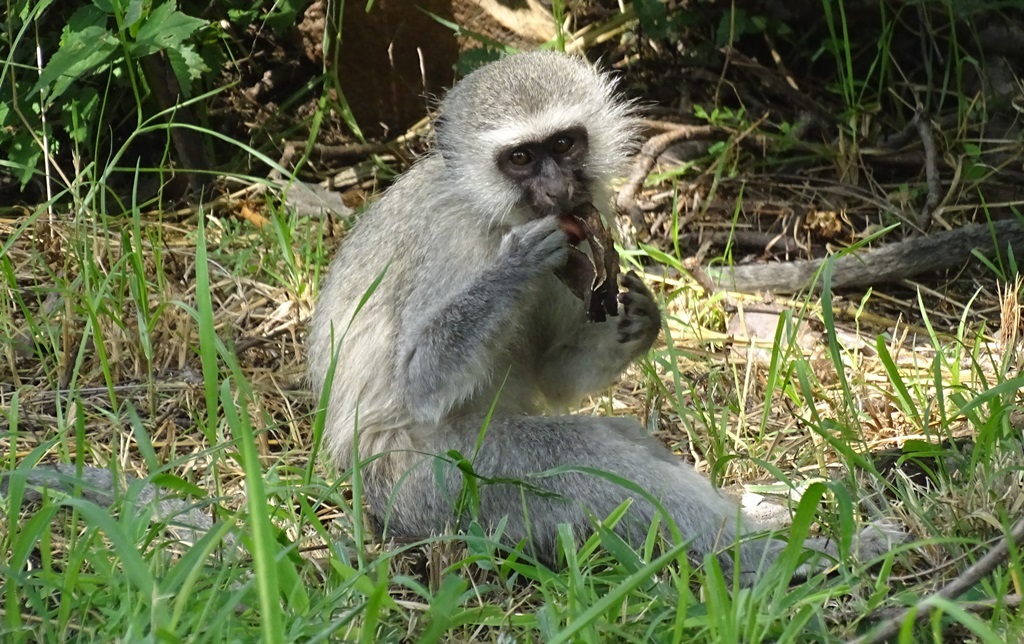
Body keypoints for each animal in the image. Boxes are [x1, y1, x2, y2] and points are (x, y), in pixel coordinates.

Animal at [305, 52, 897, 581]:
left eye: (564, 144)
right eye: (521, 158)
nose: (557, 188)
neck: (497, 215)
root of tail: (370, 496)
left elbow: (552, 375)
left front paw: (642, 319)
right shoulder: (451, 244)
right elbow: (419, 382)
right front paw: (517, 265)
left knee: (619, 438)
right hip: (442, 482)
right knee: (590, 467)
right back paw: (777, 558)